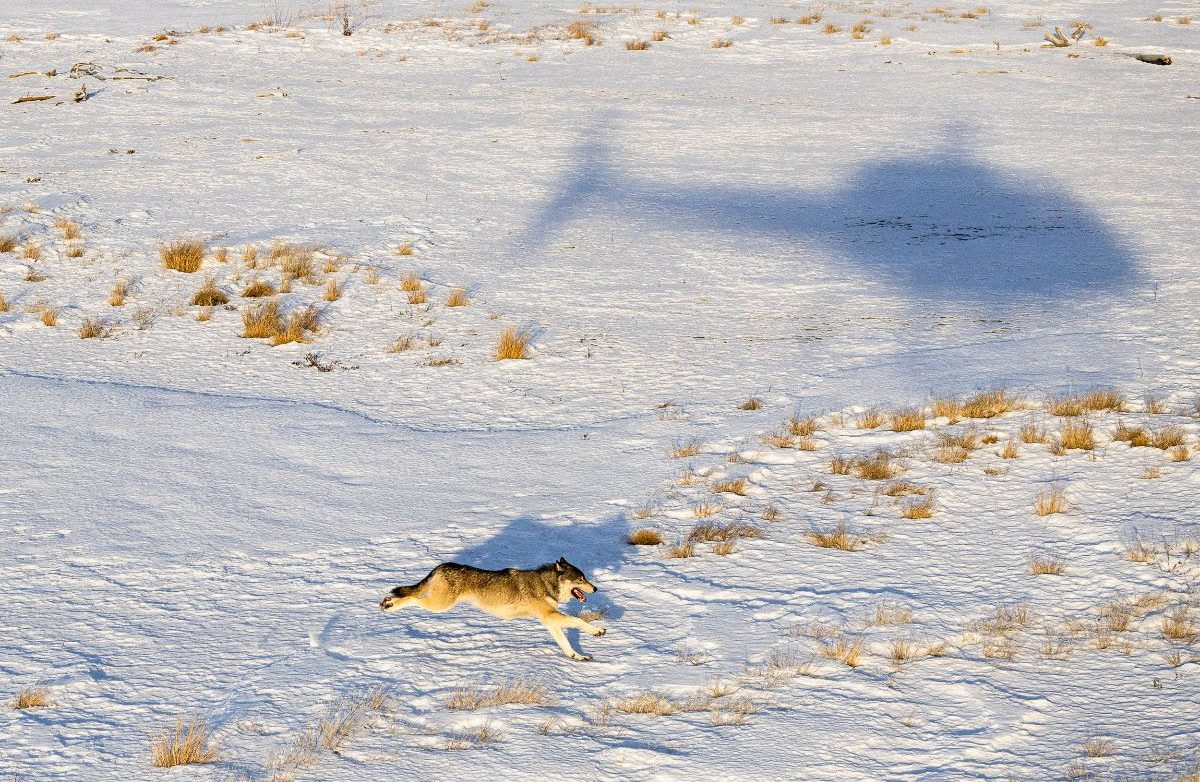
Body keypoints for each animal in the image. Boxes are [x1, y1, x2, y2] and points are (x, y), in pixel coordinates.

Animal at [379, 557, 606, 661]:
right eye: (581, 579)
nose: (595, 588)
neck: (546, 584)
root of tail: (441, 566)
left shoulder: (549, 620)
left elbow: (565, 644)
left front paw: (578, 656)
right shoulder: (549, 615)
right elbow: (578, 621)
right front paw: (598, 631)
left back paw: (387, 602)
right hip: (439, 605)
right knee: (410, 598)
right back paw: (388, 605)